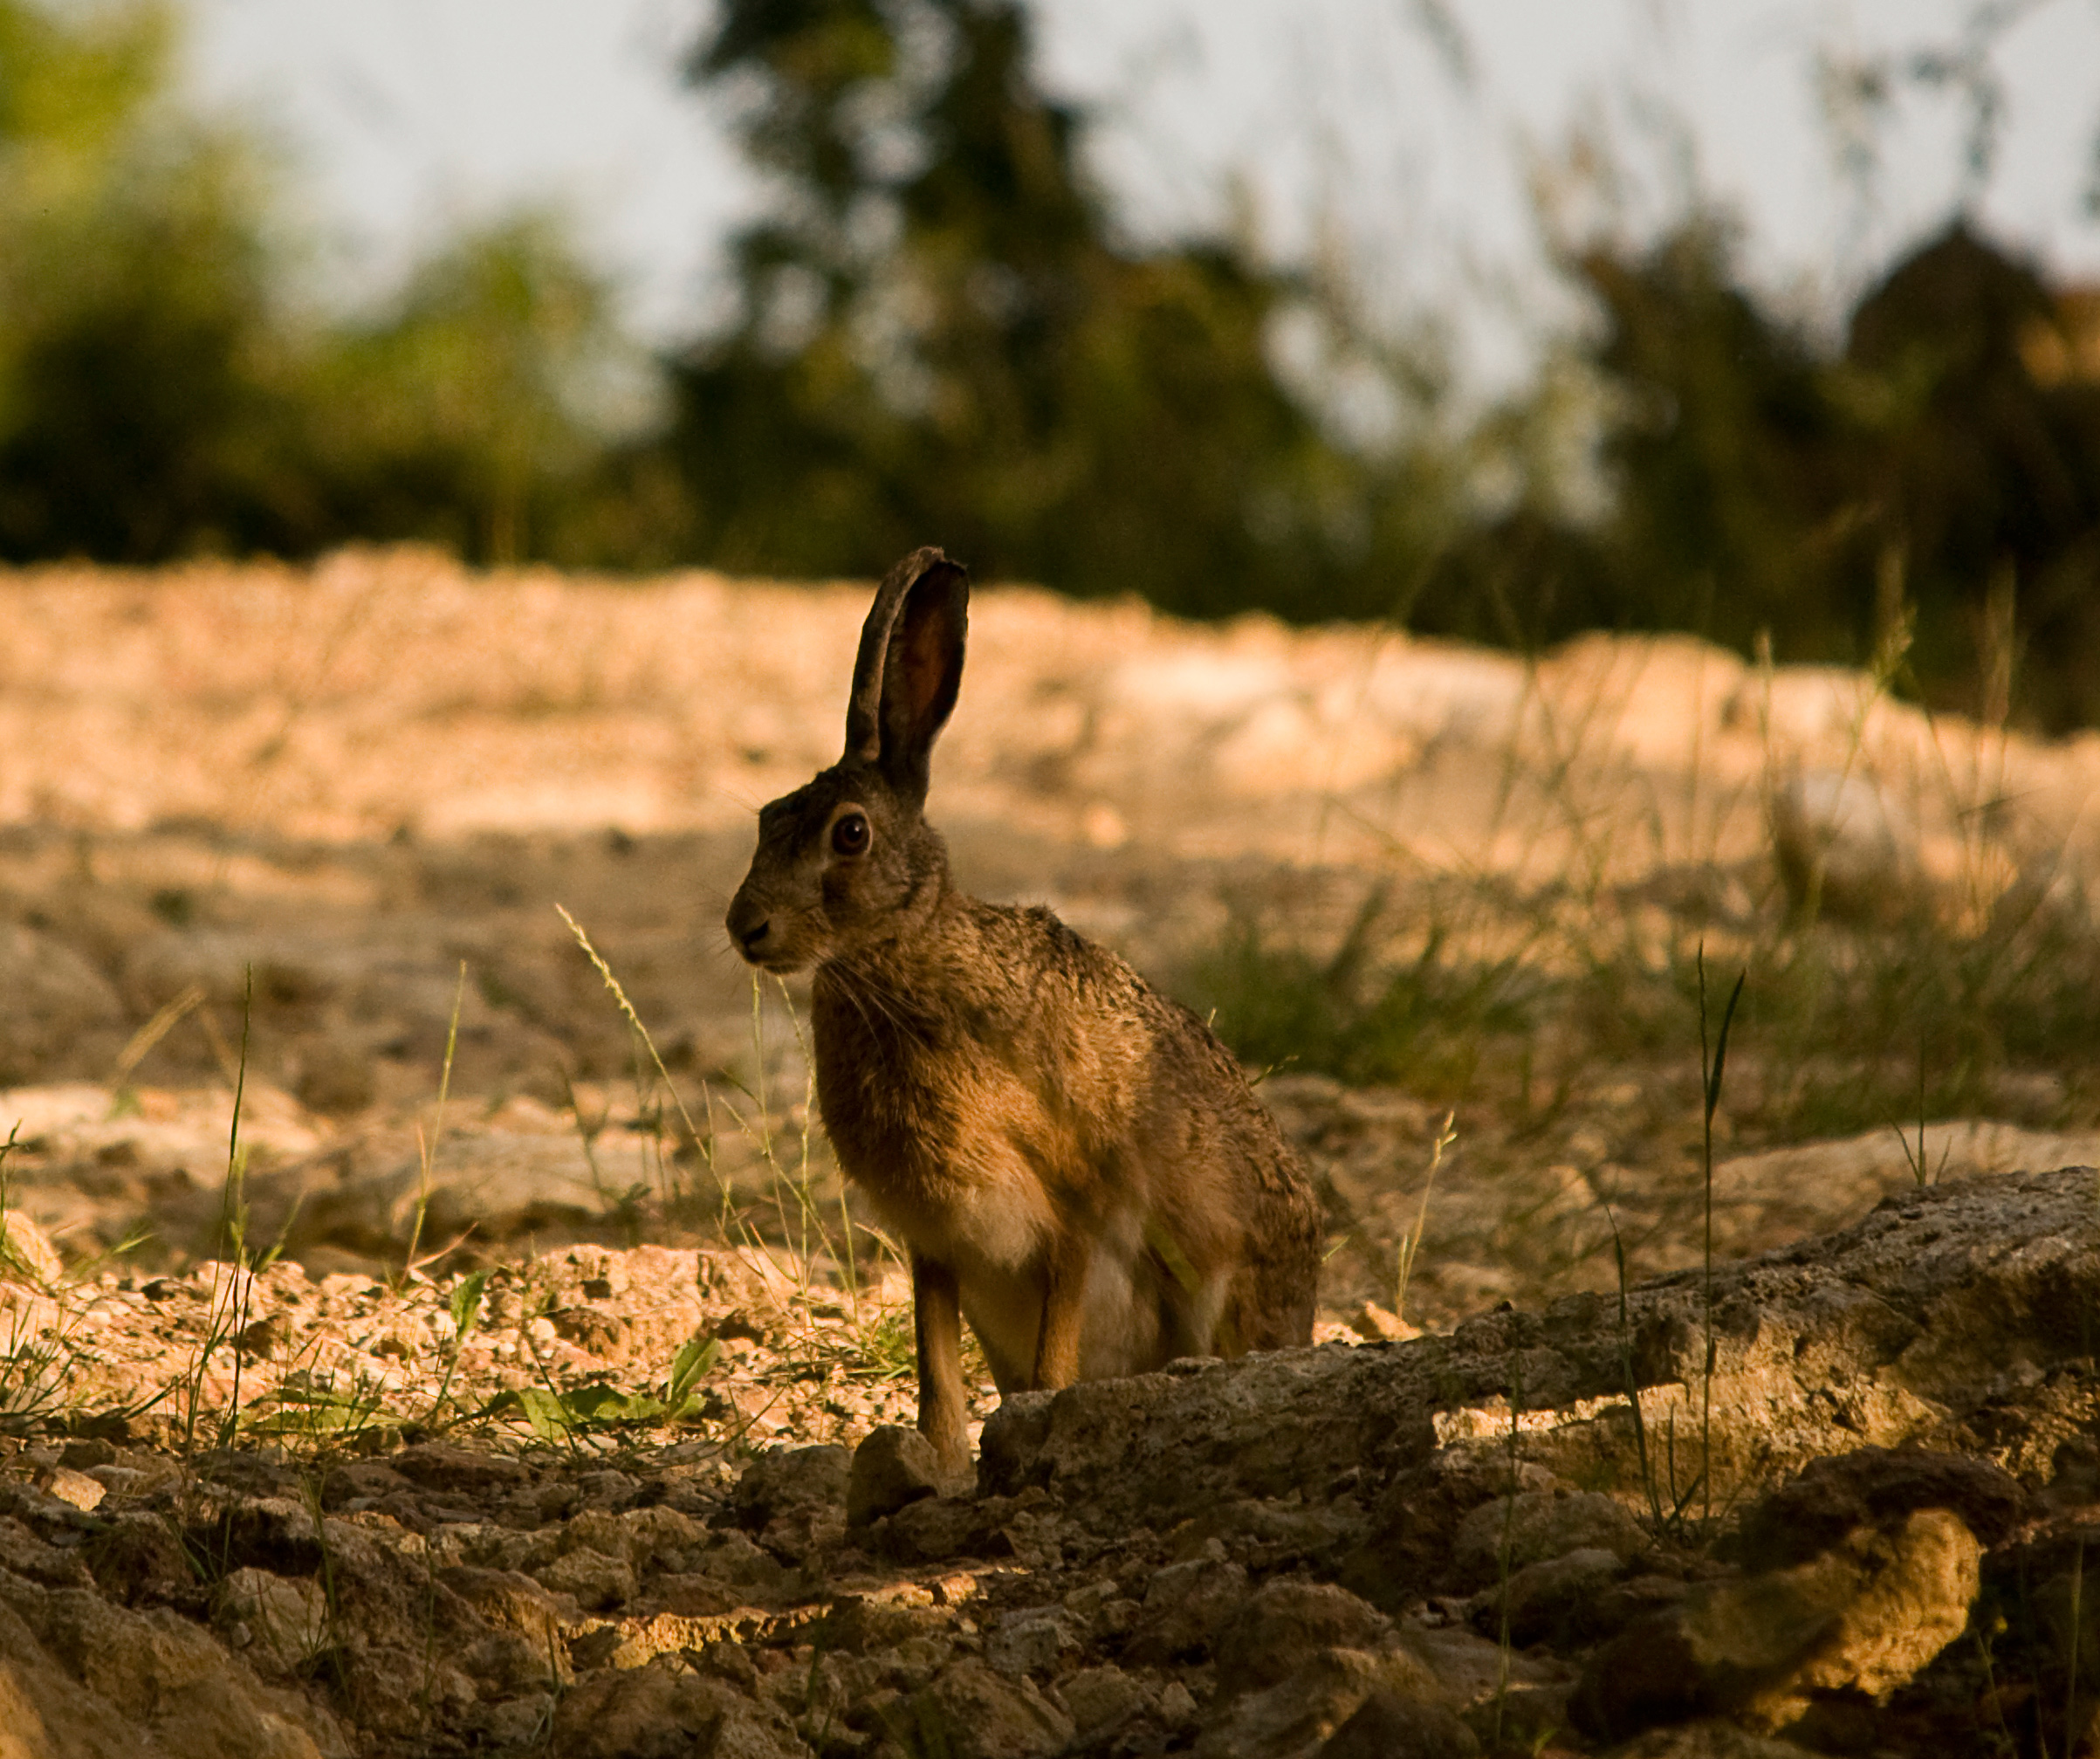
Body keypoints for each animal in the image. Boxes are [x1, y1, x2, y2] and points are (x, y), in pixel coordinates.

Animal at [725, 546, 1320, 1482]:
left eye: (849, 834)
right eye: (766, 819)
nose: (744, 926)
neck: (907, 962)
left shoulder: (1077, 1214)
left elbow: (1052, 1359)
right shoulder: (933, 1244)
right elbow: (937, 1374)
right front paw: (934, 1465)